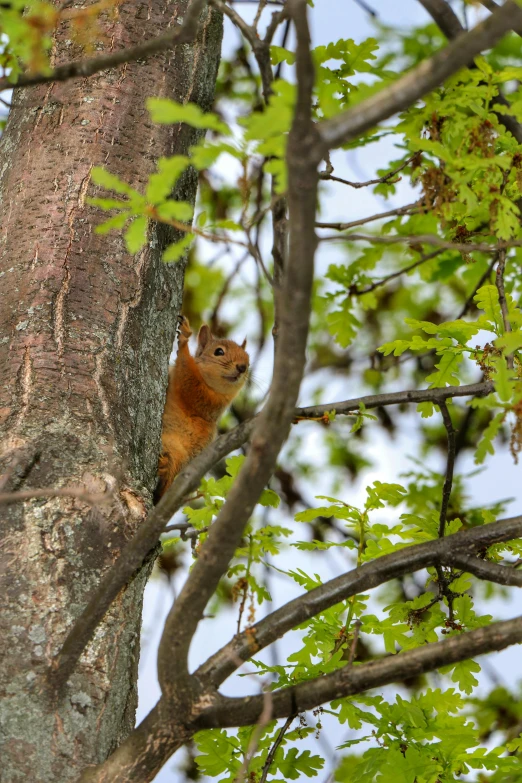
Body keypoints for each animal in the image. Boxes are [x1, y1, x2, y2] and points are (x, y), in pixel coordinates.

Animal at [155, 316, 249, 500]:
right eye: (219, 352)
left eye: (248, 359)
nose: (243, 367)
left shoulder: (207, 400)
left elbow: (188, 380)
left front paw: (184, 339)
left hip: (175, 449)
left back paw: (164, 466)